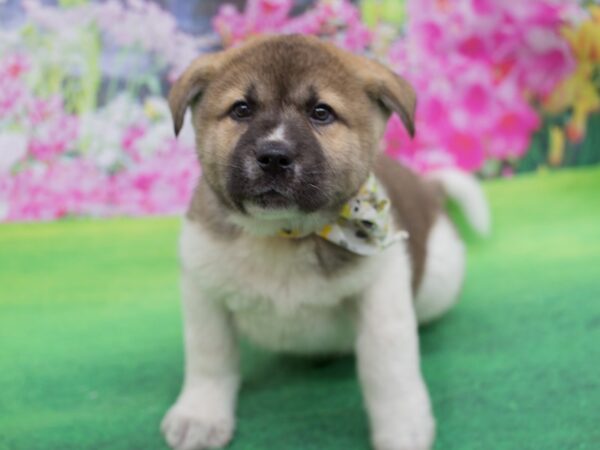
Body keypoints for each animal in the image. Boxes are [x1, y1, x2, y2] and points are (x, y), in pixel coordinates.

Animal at [159, 36, 488, 450]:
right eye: (241, 109)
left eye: (321, 113)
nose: (274, 156)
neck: (282, 235)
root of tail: (429, 190)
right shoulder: (203, 290)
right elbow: (209, 356)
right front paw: (200, 416)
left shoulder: (382, 297)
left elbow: (390, 371)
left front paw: (403, 428)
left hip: (438, 282)